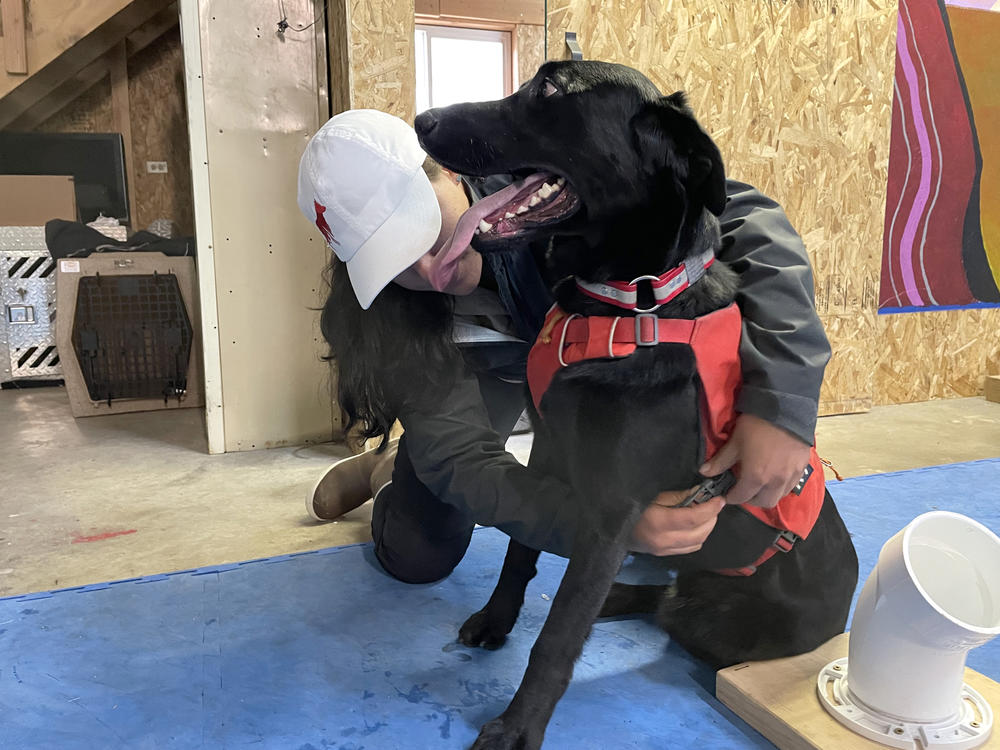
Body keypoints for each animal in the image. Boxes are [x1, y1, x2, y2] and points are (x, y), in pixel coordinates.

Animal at [418, 61, 856, 748]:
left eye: (551, 89)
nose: (421, 121)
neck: (630, 304)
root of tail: (846, 612)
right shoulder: (547, 454)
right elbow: (519, 553)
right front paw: (496, 619)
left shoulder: (614, 508)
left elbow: (560, 634)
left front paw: (518, 727)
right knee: (659, 598)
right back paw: (619, 595)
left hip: (718, 625)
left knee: (671, 609)